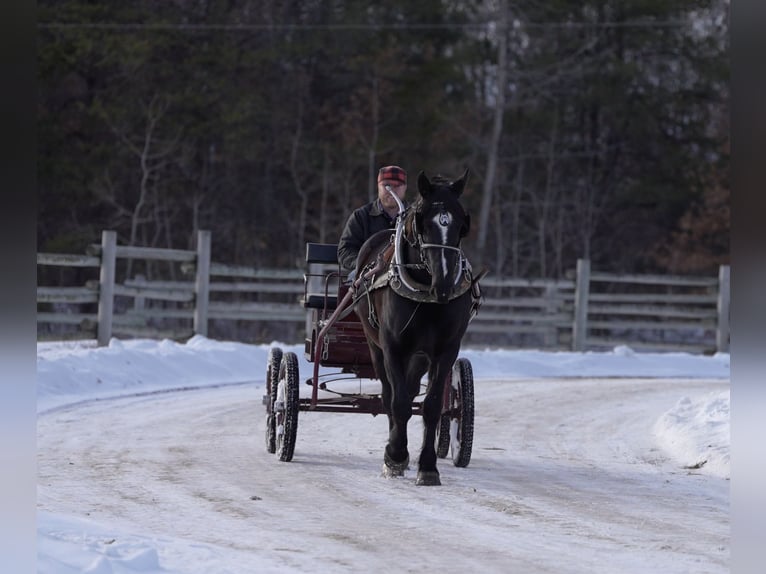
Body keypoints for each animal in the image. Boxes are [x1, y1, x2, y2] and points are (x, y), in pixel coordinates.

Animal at [353, 169, 477, 486]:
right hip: (374, 345)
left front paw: (428, 466)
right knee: (390, 396)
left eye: (461, 223)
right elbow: (397, 402)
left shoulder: (445, 350)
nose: (444, 284)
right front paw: (395, 456)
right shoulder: (393, 347)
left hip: (419, 356)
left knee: (410, 392)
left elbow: (431, 406)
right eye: (424, 222)